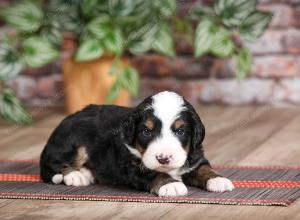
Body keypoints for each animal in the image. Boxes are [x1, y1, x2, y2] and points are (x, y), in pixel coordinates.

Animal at [39, 90, 233, 196]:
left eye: (180, 131)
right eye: (146, 132)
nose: (163, 158)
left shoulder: (195, 155)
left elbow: (203, 168)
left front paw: (218, 180)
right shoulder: (131, 165)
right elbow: (153, 172)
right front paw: (171, 184)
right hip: (74, 140)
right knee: (55, 161)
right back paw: (76, 175)